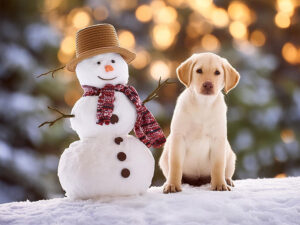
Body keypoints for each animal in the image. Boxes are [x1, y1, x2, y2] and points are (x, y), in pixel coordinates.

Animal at [161, 52, 240, 193]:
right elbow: (175, 165)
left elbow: (218, 166)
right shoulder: (178, 138)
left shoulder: (218, 139)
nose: (208, 84)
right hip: (164, 158)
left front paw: (219, 184)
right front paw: (172, 185)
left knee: (226, 172)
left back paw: (227, 180)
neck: (203, 104)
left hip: (231, 157)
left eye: (217, 72)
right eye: (199, 71)